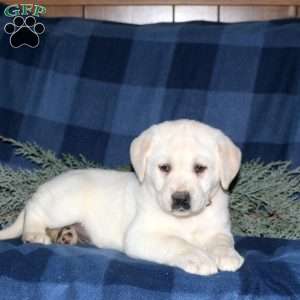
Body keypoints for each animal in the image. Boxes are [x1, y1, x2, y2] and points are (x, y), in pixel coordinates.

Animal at [0, 120, 244, 276]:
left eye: (200, 168)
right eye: (164, 168)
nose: (180, 199)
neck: (187, 220)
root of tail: (47, 184)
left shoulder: (218, 230)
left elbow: (222, 242)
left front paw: (228, 256)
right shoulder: (141, 236)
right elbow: (177, 242)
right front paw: (199, 258)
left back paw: (67, 235)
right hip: (61, 206)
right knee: (34, 209)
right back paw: (34, 234)